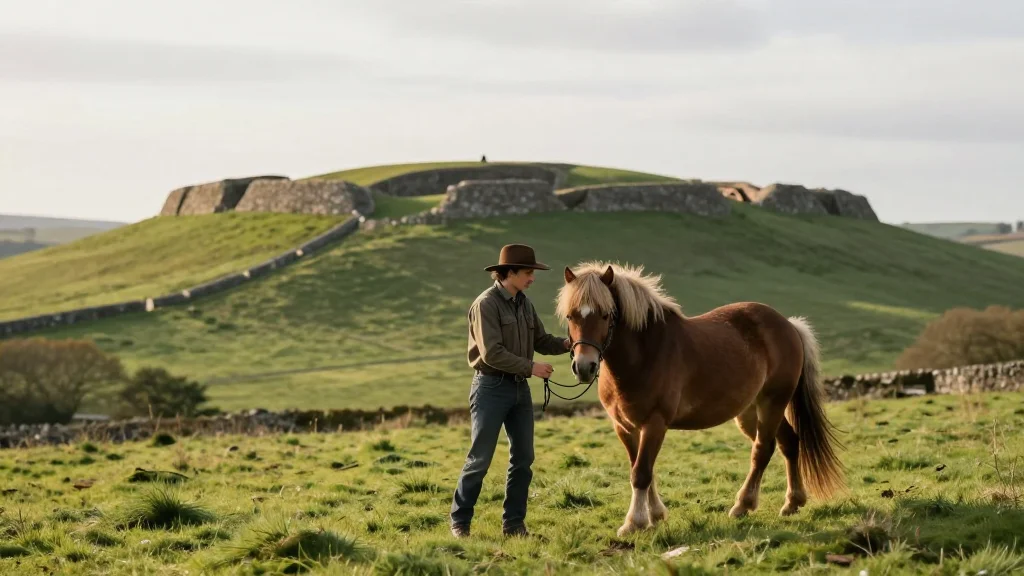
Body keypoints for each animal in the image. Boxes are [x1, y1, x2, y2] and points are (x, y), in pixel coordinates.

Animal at [555, 261, 846, 537]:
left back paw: (743, 505)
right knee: (788, 443)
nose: (585, 367)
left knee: (763, 449)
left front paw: (634, 523)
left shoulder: (655, 424)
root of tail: (789, 325)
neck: (644, 354)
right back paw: (792, 502)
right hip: (752, 410)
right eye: (570, 316)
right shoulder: (625, 427)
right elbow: (641, 469)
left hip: (773, 402)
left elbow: (641, 473)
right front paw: (655, 515)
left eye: (606, 315)